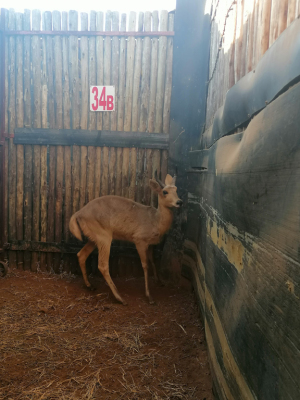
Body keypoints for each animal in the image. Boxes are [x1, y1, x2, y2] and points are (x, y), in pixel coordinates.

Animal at [69, 173, 182, 304]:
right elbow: (145, 265)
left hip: (94, 238)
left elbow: (153, 261)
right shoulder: (139, 240)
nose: (179, 202)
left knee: (81, 254)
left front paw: (159, 282)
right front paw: (149, 296)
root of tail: (77, 214)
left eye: (176, 189)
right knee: (102, 265)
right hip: (104, 237)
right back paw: (120, 298)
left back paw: (90, 285)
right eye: (164, 192)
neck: (156, 221)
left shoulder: (150, 244)